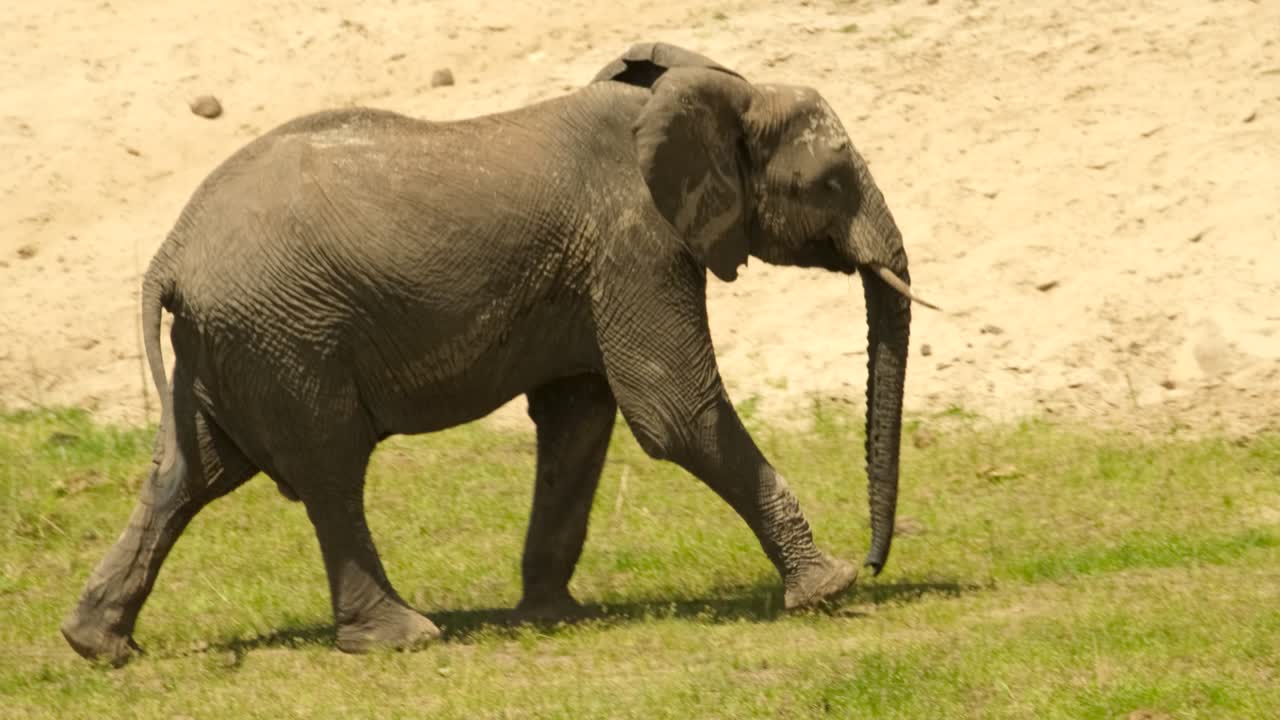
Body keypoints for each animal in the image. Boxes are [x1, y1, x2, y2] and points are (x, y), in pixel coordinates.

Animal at [61, 42, 933, 665]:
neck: (709, 92)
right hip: (285, 336)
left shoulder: (594, 270)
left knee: (191, 472)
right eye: (830, 182)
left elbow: (579, 419)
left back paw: (99, 646)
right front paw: (828, 589)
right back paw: (403, 638)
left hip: (235, 342)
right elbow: (672, 411)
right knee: (329, 470)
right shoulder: (635, 240)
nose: (877, 563)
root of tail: (170, 252)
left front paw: (553, 617)